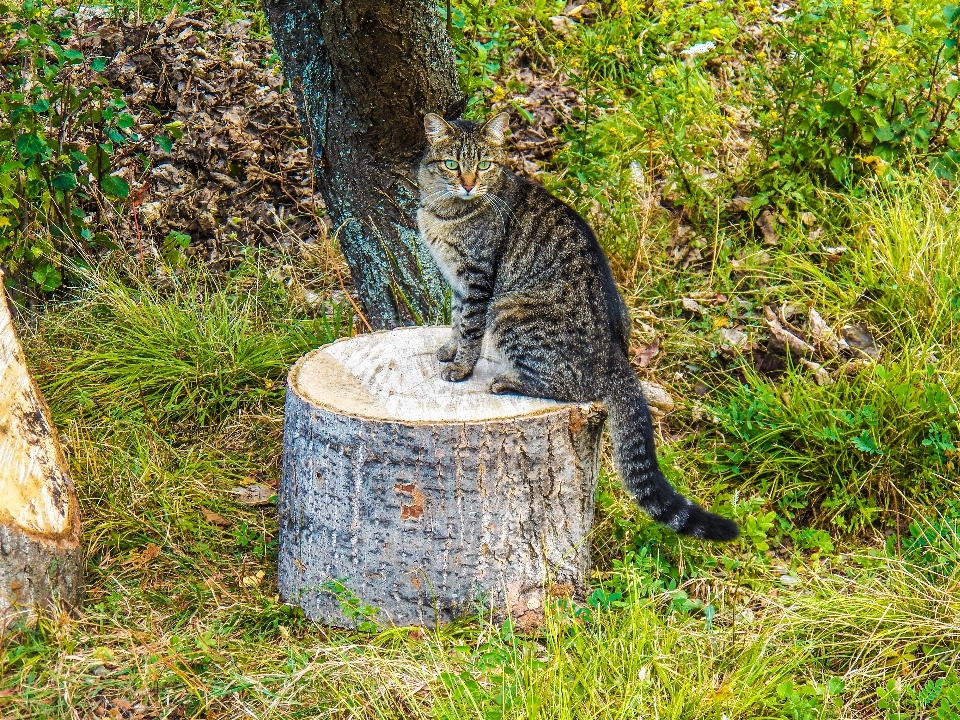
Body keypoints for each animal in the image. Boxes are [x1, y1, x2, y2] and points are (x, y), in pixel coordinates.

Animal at [416, 112, 740, 540]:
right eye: (452, 164)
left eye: (483, 165)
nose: (469, 184)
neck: (444, 210)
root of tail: (618, 359)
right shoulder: (456, 280)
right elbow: (456, 320)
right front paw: (450, 351)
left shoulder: (477, 280)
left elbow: (469, 326)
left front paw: (461, 366)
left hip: (509, 310)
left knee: (570, 387)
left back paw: (508, 381)